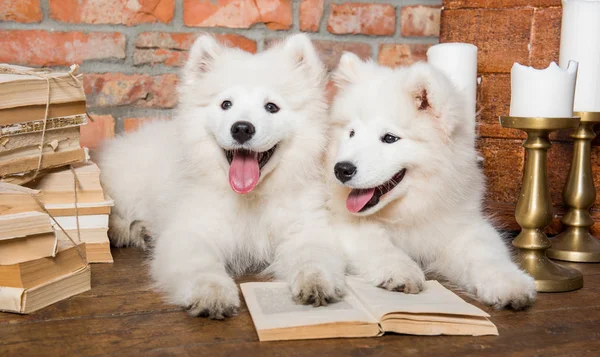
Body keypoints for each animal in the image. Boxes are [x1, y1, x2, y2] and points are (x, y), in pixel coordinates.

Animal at [95, 34, 344, 318]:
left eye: (271, 107)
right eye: (226, 104)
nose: (242, 128)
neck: (250, 198)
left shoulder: (305, 228)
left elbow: (313, 256)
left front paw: (317, 282)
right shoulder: (192, 230)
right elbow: (200, 264)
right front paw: (212, 294)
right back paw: (126, 231)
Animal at [326, 54, 536, 310]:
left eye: (390, 138)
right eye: (352, 133)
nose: (341, 169)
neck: (408, 211)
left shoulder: (461, 225)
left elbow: (486, 252)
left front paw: (509, 283)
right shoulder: (341, 223)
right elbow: (377, 243)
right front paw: (401, 271)